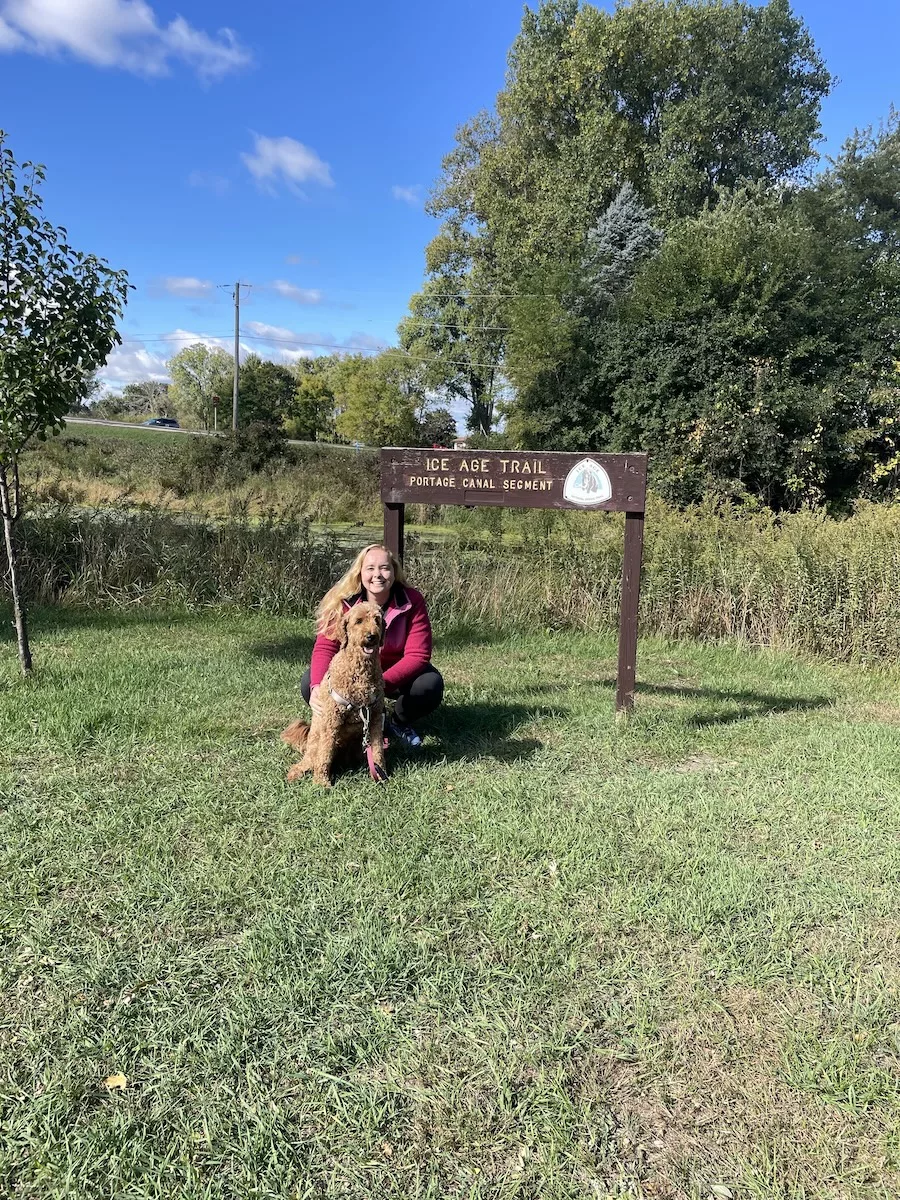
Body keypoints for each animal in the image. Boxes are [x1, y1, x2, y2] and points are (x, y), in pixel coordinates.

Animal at [282, 600, 388, 787]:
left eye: (377, 620)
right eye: (358, 621)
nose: (371, 636)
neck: (361, 671)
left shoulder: (374, 719)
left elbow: (377, 750)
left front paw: (380, 773)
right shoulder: (332, 720)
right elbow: (324, 754)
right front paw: (321, 782)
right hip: (314, 746)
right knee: (308, 761)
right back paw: (295, 773)